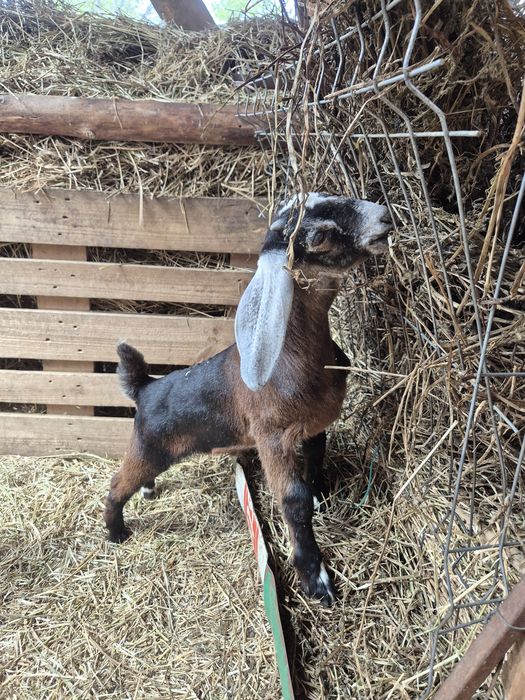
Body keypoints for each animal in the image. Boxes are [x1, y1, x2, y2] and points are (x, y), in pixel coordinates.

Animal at [104, 192, 392, 606]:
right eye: (319, 236)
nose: (384, 216)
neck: (296, 358)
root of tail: (144, 387)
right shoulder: (272, 436)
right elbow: (293, 499)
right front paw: (316, 580)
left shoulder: (313, 427)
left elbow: (316, 461)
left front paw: (320, 497)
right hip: (148, 446)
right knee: (116, 485)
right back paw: (116, 534)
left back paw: (147, 492)